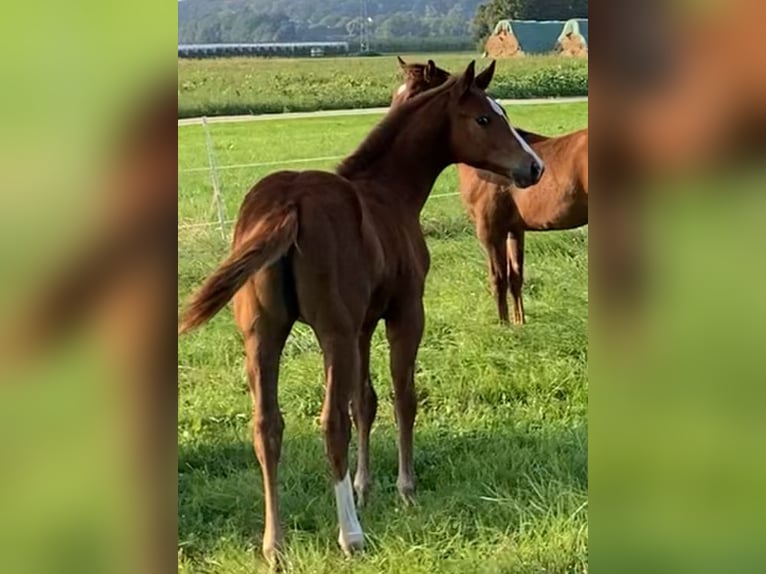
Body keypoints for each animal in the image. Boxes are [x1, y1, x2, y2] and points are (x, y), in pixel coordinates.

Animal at [177, 61, 544, 565]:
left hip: (263, 336)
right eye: (485, 118)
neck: (388, 192)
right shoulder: (403, 314)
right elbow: (402, 397)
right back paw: (350, 535)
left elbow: (363, 403)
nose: (534, 167)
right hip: (331, 333)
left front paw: (363, 486)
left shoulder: (363, 327)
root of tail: (288, 203)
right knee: (329, 424)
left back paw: (275, 544)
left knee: (266, 427)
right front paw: (404, 489)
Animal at [391, 58, 588, 324]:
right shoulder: (514, 230)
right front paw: (519, 323)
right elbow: (515, 277)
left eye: (412, 94)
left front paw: (504, 325)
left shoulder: (490, 231)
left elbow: (498, 279)